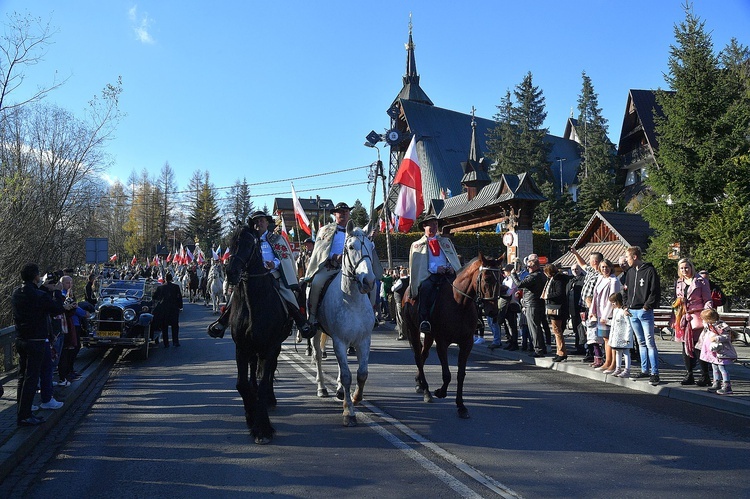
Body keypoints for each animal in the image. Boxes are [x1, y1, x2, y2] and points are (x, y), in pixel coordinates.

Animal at [223, 225, 290, 444]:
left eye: (249, 244)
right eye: (231, 242)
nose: (231, 272)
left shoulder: (270, 347)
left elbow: (262, 384)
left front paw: (263, 428)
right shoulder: (241, 347)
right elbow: (242, 384)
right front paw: (250, 415)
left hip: (274, 348)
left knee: (268, 373)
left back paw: (271, 399)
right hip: (253, 350)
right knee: (254, 371)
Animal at [312, 221, 378, 428]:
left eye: (371, 246)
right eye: (350, 247)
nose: (369, 281)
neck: (352, 300)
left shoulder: (363, 340)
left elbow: (362, 373)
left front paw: (356, 397)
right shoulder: (339, 341)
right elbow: (348, 376)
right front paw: (349, 411)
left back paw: (340, 390)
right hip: (317, 332)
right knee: (318, 356)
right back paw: (322, 388)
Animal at [406, 256, 506, 420]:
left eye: (502, 278)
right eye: (486, 278)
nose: (493, 312)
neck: (459, 304)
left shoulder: (466, 343)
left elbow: (460, 375)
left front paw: (461, 406)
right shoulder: (442, 342)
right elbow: (447, 374)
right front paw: (440, 392)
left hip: (429, 335)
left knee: (423, 355)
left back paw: (419, 383)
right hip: (413, 330)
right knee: (418, 357)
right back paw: (426, 390)